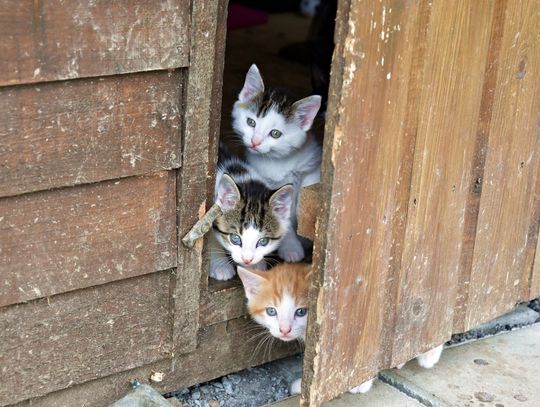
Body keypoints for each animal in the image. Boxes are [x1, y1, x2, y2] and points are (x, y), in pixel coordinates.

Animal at [231, 63, 320, 262]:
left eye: (275, 134)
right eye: (251, 122)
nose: (255, 142)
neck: (277, 161)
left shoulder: (312, 165)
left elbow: (307, 194)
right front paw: (291, 248)